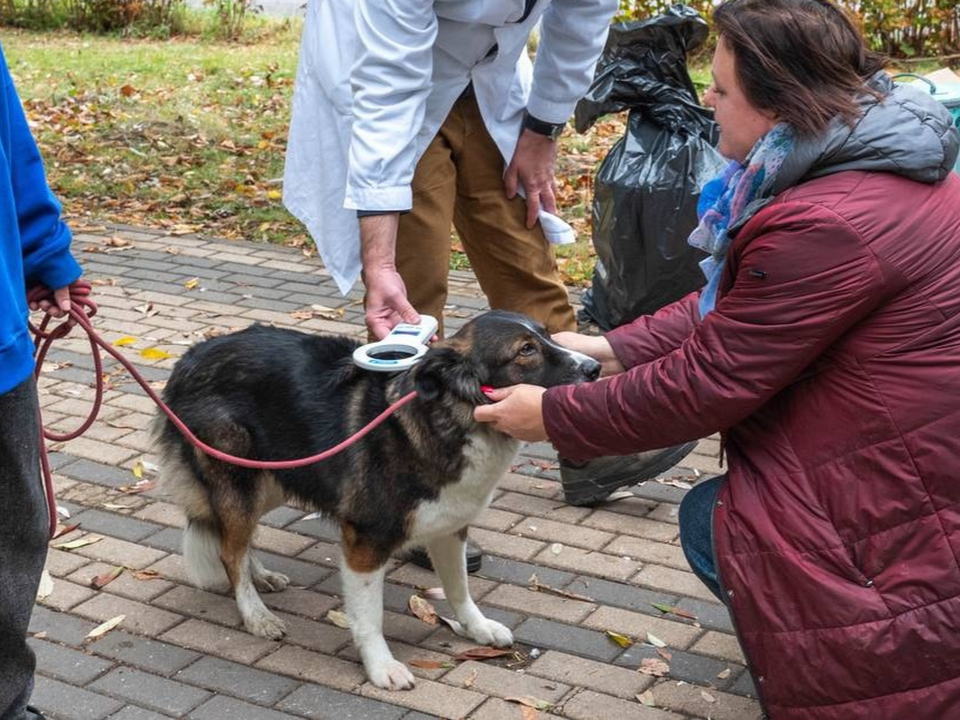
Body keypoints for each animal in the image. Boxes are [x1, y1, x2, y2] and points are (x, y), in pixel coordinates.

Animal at [153, 310, 596, 692]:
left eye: (549, 335)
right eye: (526, 350)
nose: (594, 368)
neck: (447, 418)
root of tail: (190, 357)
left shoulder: (450, 526)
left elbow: (459, 589)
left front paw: (477, 628)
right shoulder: (364, 541)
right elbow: (370, 617)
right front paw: (381, 666)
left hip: (275, 475)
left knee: (237, 542)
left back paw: (260, 576)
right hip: (241, 479)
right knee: (229, 550)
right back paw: (255, 613)